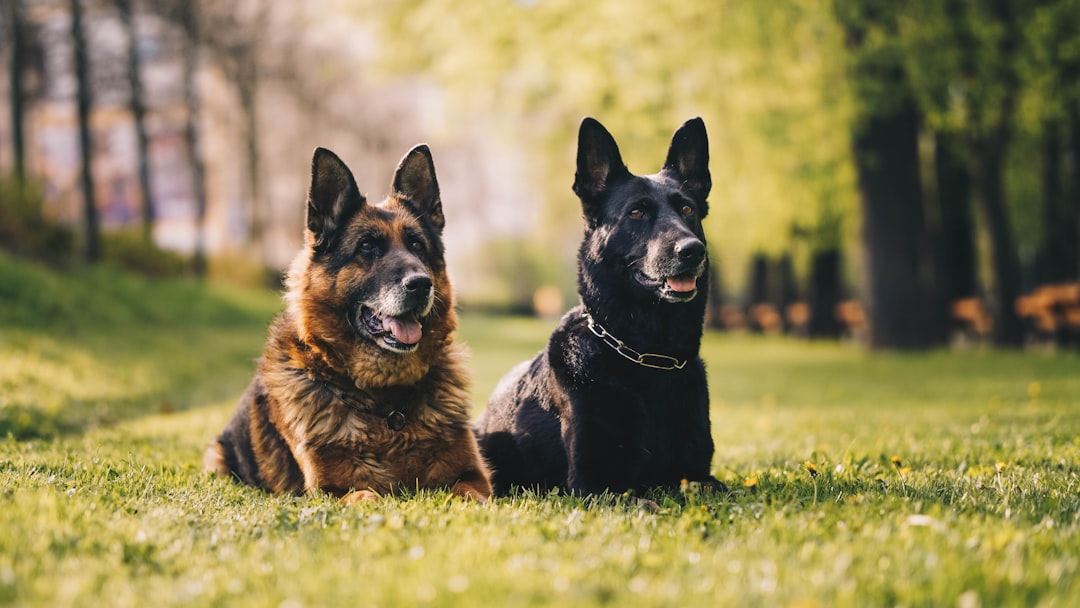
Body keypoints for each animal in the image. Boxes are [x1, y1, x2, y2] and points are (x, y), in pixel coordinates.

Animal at [475, 116, 721, 496]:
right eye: (636, 212)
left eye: (687, 209)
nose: (692, 250)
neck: (649, 356)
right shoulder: (594, 483)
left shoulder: (697, 475)